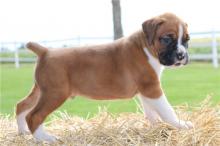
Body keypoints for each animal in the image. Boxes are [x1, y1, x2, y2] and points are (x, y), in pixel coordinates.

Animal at [15, 13, 192, 142]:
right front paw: (181, 125)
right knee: (34, 115)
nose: (181, 55)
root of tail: (45, 51)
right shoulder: (152, 88)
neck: (145, 47)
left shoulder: (146, 91)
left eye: (187, 40)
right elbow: (167, 110)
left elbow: (152, 112)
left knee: (21, 106)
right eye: (167, 38)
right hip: (55, 93)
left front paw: (157, 128)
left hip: (41, 90)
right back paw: (45, 138)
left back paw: (23, 132)